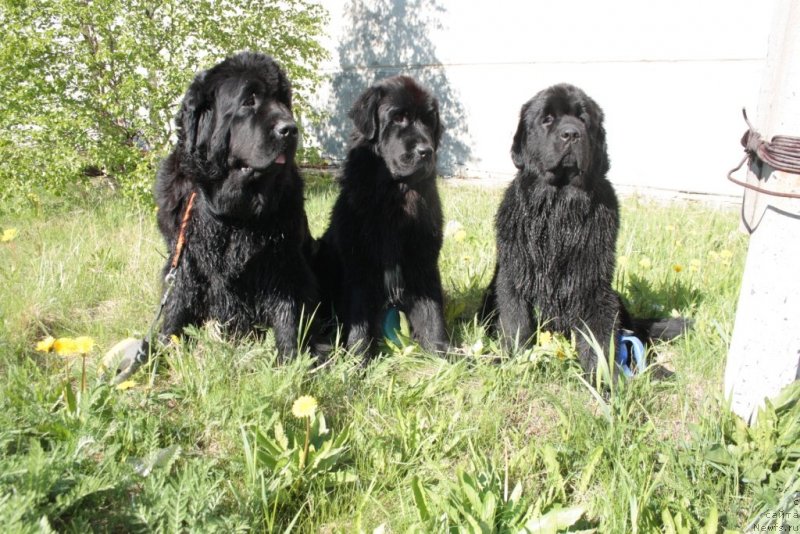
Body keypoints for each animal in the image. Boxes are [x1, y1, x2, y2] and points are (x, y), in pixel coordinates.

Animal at [152, 51, 318, 360]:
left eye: (283, 101)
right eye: (248, 101)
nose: (290, 129)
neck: (232, 214)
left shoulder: (284, 262)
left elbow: (288, 313)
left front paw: (293, 361)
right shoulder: (184, 258)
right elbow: (176, 306)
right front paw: (160, 353)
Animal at [314, 75, 450, 358]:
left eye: (428, 121)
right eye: (398, 118)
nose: (425, 151)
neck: (394, 194)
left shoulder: (423, 260)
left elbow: (432, 314)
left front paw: (443, 355)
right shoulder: (359, 264)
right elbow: (360, 320)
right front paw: (358, 359)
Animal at [482, 84, 688, 376]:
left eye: (583, 119)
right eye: (547, 119)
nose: (571, 133)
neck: (560, 208)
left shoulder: (593, 283)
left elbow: (599, 337)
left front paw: (605, 379)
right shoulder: (514, 276)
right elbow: (516, 323)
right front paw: (515, 363)